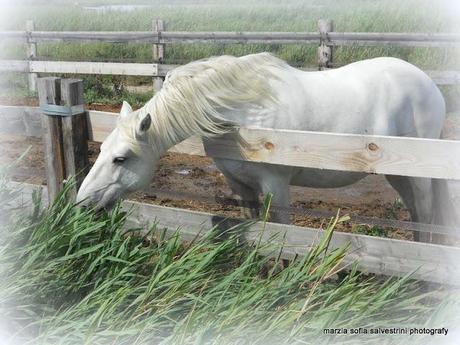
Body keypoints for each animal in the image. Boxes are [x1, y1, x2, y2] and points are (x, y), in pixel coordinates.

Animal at [75, 52, 456, 235]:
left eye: (121, 158)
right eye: (101, 150)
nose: (81, 203)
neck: (242, 113)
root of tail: (428, 84)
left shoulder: (276, 184)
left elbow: (283, 233)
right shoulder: (240, 185)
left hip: (419, 177)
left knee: (427, 215)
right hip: (399, 174)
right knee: (418, 216)